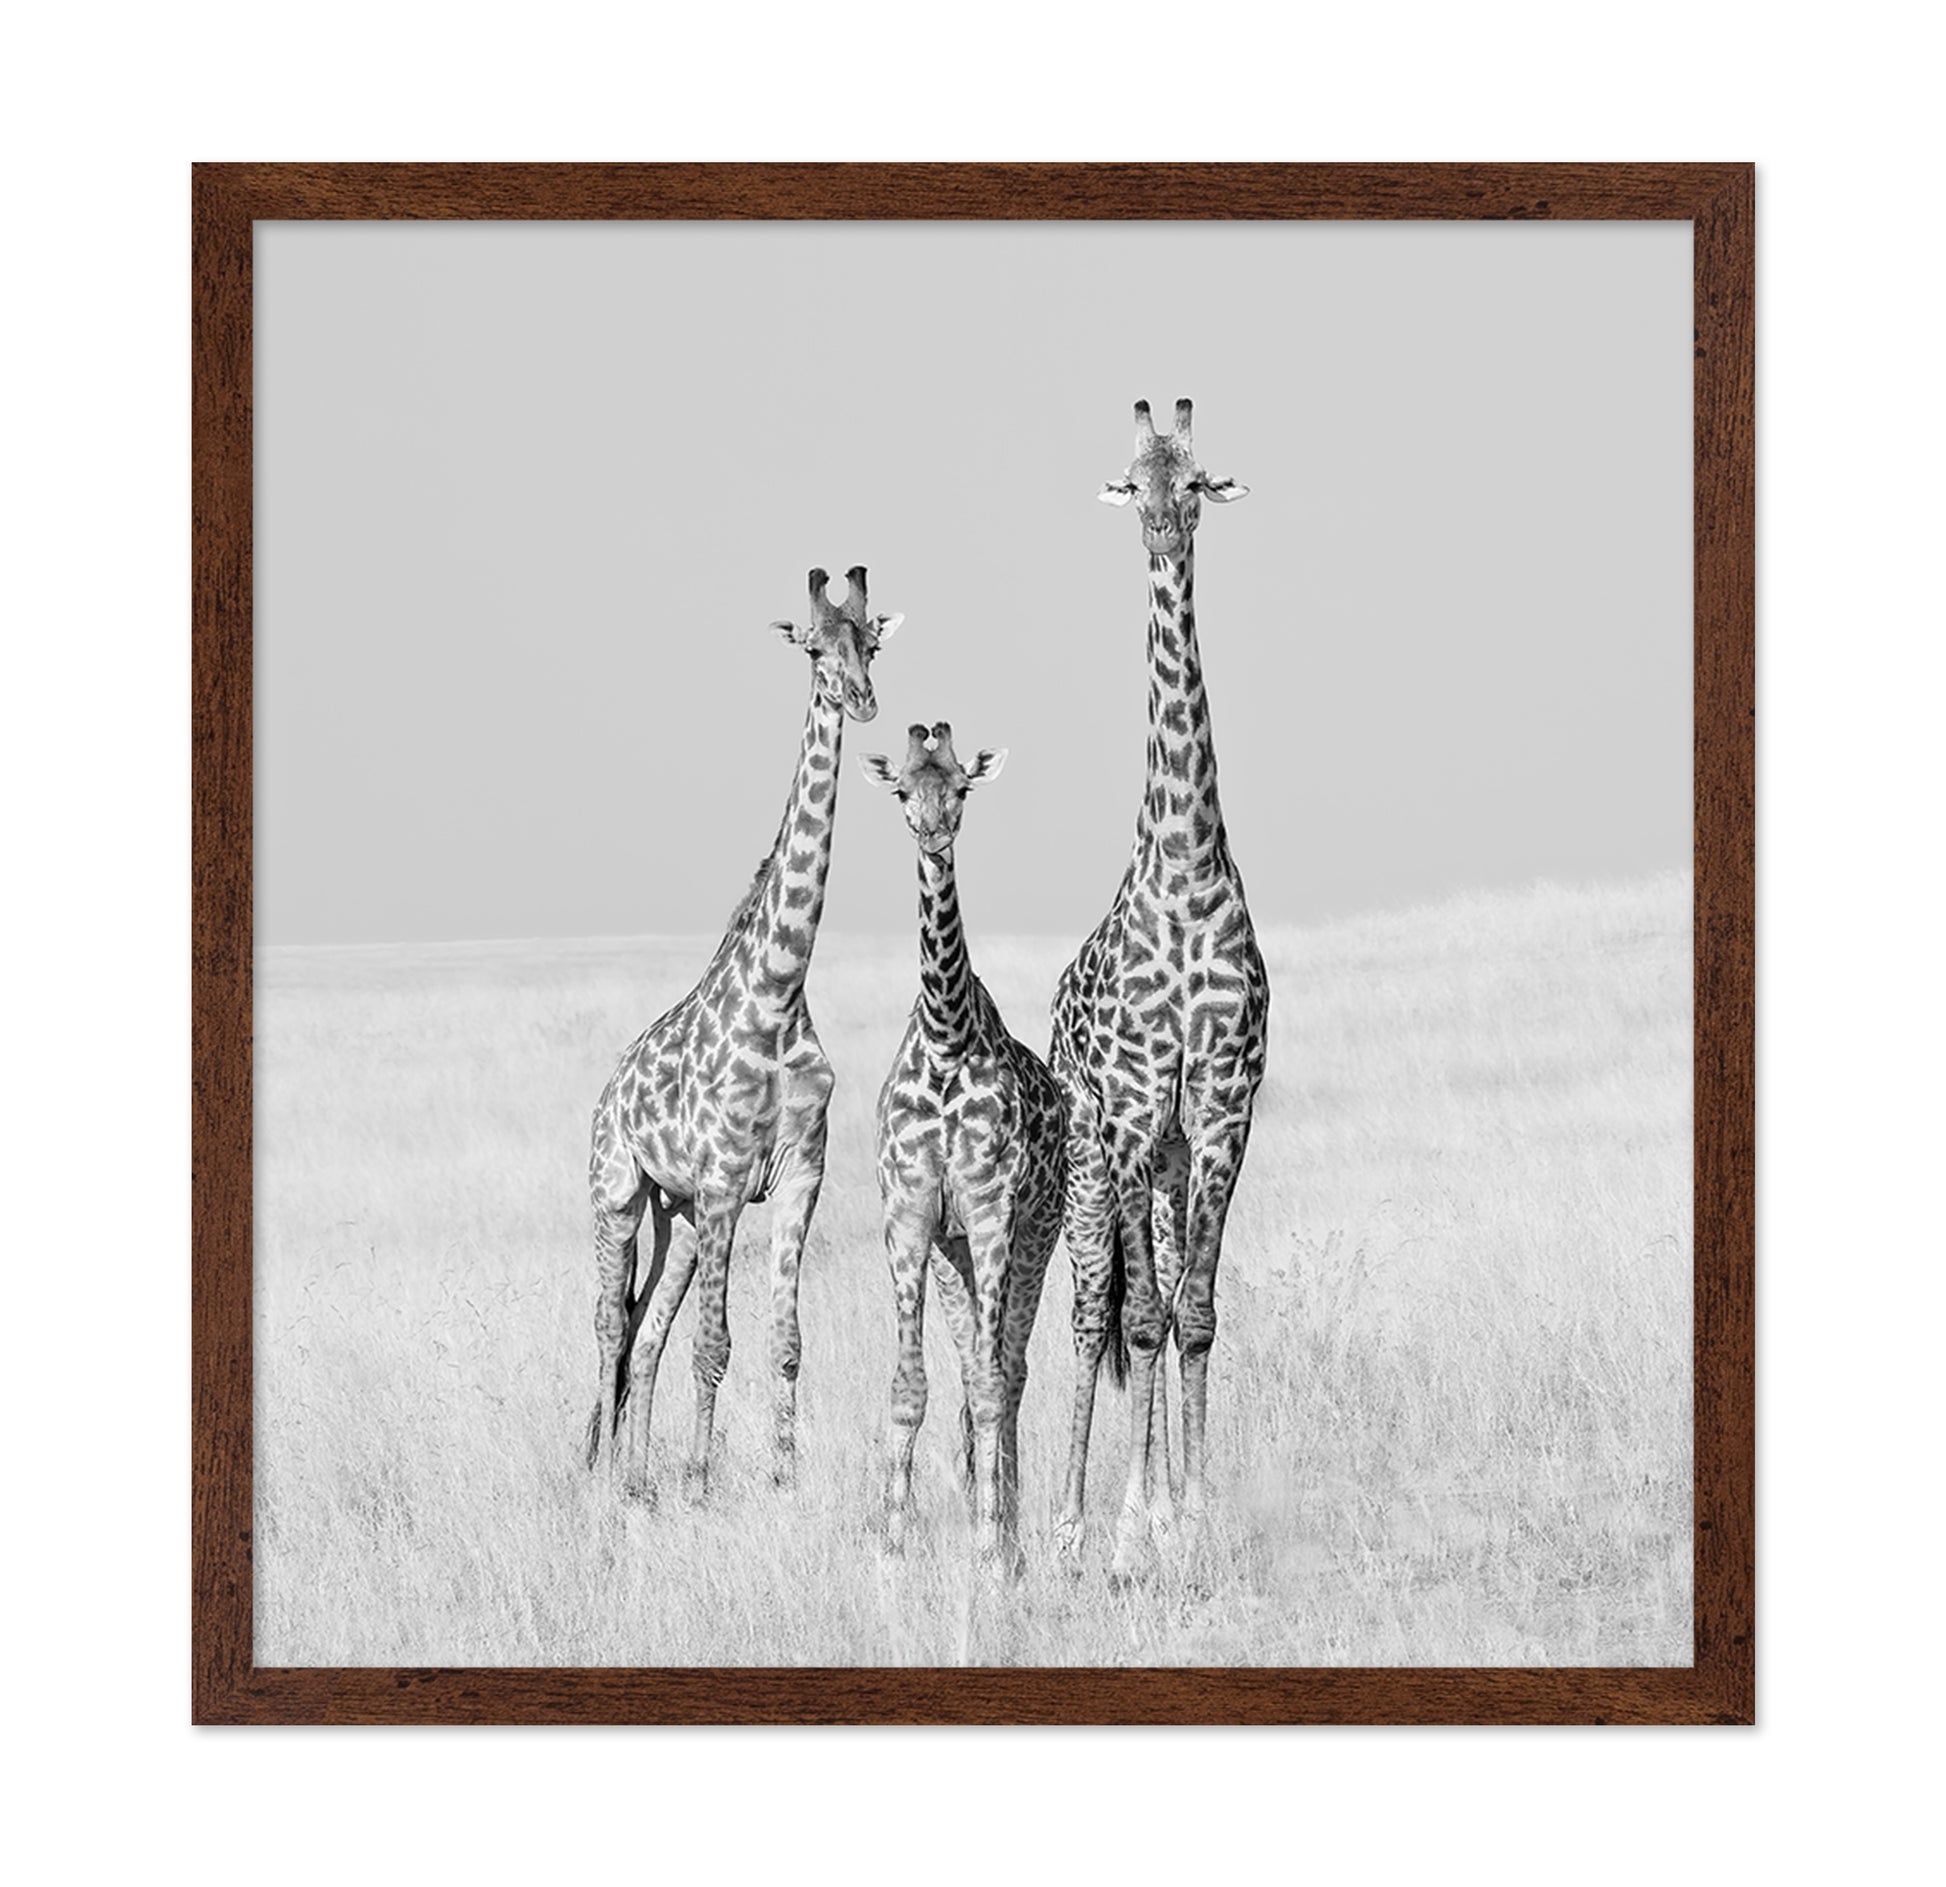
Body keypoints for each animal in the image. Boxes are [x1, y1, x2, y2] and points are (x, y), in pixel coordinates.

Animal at [584, 565, 902, 1500]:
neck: (779, 992)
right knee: (610, 1327)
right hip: (620, 1193)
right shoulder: (727, 1181)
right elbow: (715, 1342)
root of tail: (608, 1090)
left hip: (679, 1215)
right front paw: (700, 1478)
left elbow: (784, 1341)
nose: (862, 698)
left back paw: (636, 1478)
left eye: (871, 641)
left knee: (645, 1330)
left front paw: (782, 1478)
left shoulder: (798, 1175)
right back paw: (611, 1477)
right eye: (813, 646)